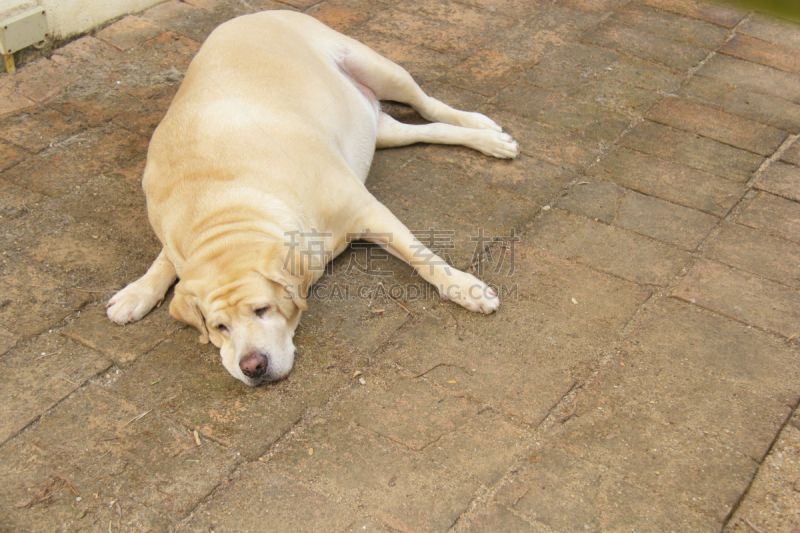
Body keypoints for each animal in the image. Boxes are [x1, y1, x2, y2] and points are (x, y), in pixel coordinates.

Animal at [106, 10, 520, 384]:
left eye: (262, 310)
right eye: (219, 327)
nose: (252, 367)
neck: (223, 207)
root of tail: (247, 14)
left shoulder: (367, 209)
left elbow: (422, 254)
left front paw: (464, 287)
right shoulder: (179, 237)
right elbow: (165, 260)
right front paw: (137, 291)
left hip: (378, 67)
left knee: (428, 103)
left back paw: (483, 128)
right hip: (377, 129)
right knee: (424, 130)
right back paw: (483, 138)